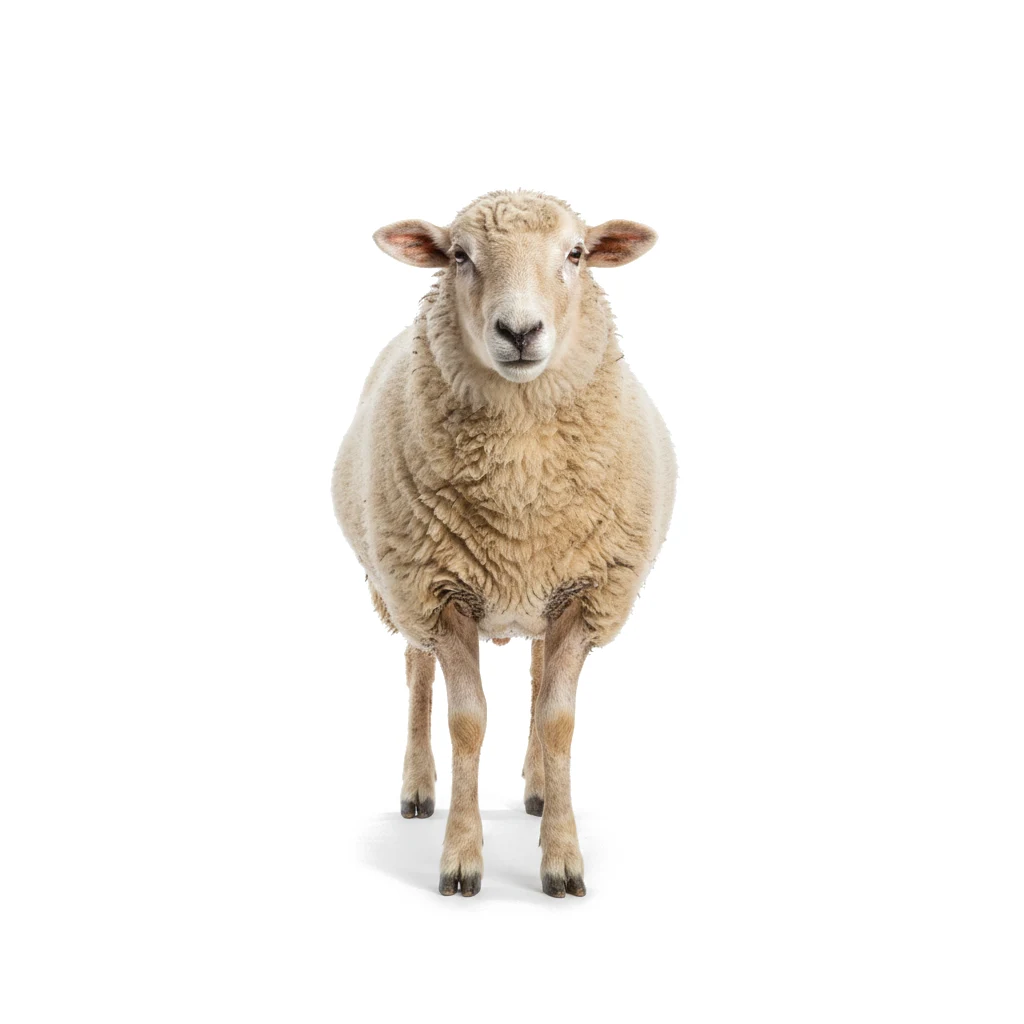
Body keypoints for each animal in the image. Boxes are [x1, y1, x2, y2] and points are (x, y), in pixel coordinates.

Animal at [332, 190, 676, 897]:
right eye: (459, 256)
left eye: (576, 253)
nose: (519, 332)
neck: (521, 487)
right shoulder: (440, 595)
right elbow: (466, 722)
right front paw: (461, 857)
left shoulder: (585, 591)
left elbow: (557, 719)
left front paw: (562, 857)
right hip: (398, 589)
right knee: (416, 674)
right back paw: (418, 787)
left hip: (544, 590)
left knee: (540, 678)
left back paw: (541, 789)